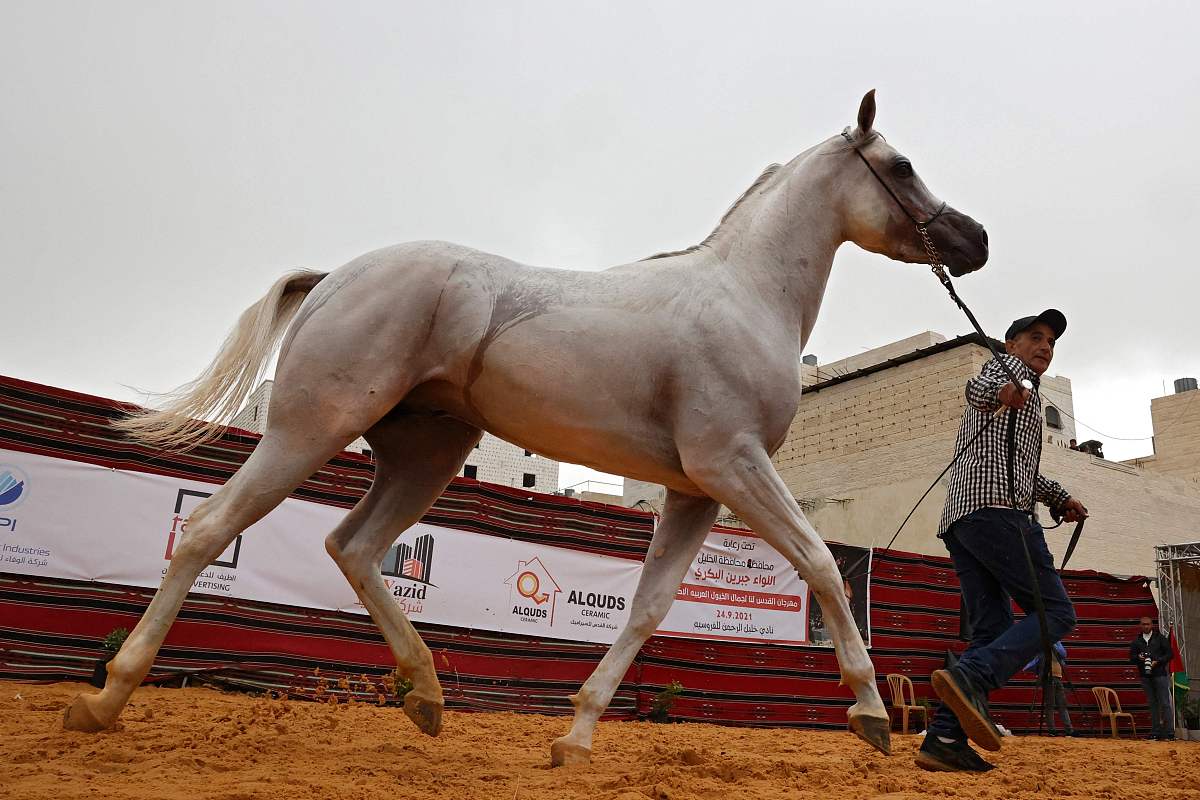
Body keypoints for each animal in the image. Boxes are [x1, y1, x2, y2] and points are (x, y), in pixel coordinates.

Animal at [63, 91, 988, 765]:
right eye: (901, 164)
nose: (973, 238)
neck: (745, 295)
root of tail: (334, 277)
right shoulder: (734, 465)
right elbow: (821, 564)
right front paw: (871, 714)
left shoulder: (694, 490)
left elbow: (648, 608)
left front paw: (573, 737)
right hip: (308, 429)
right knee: (209, 529)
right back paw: (105, 698)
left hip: (426, 454)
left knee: (353, 547)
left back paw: (427, 697)